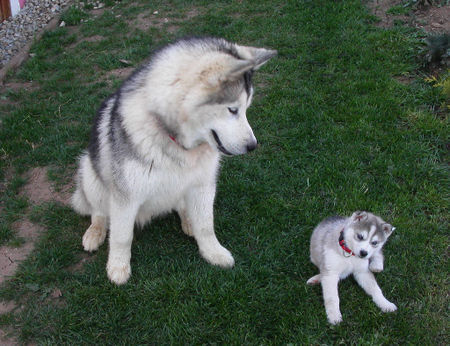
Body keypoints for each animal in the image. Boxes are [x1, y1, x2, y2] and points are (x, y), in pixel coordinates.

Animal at [71, 37, 276, 284]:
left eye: (246, 109)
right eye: (232, 109)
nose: (253, 146)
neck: (177, 143)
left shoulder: (203, 184)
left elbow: (206, 225)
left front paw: (213, 252)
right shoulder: (126, 197)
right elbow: (121, 236)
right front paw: (118, 267)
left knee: (182, 206)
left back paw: (188, 220)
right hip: (89, 173)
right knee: (99, 211)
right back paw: (95, 231)